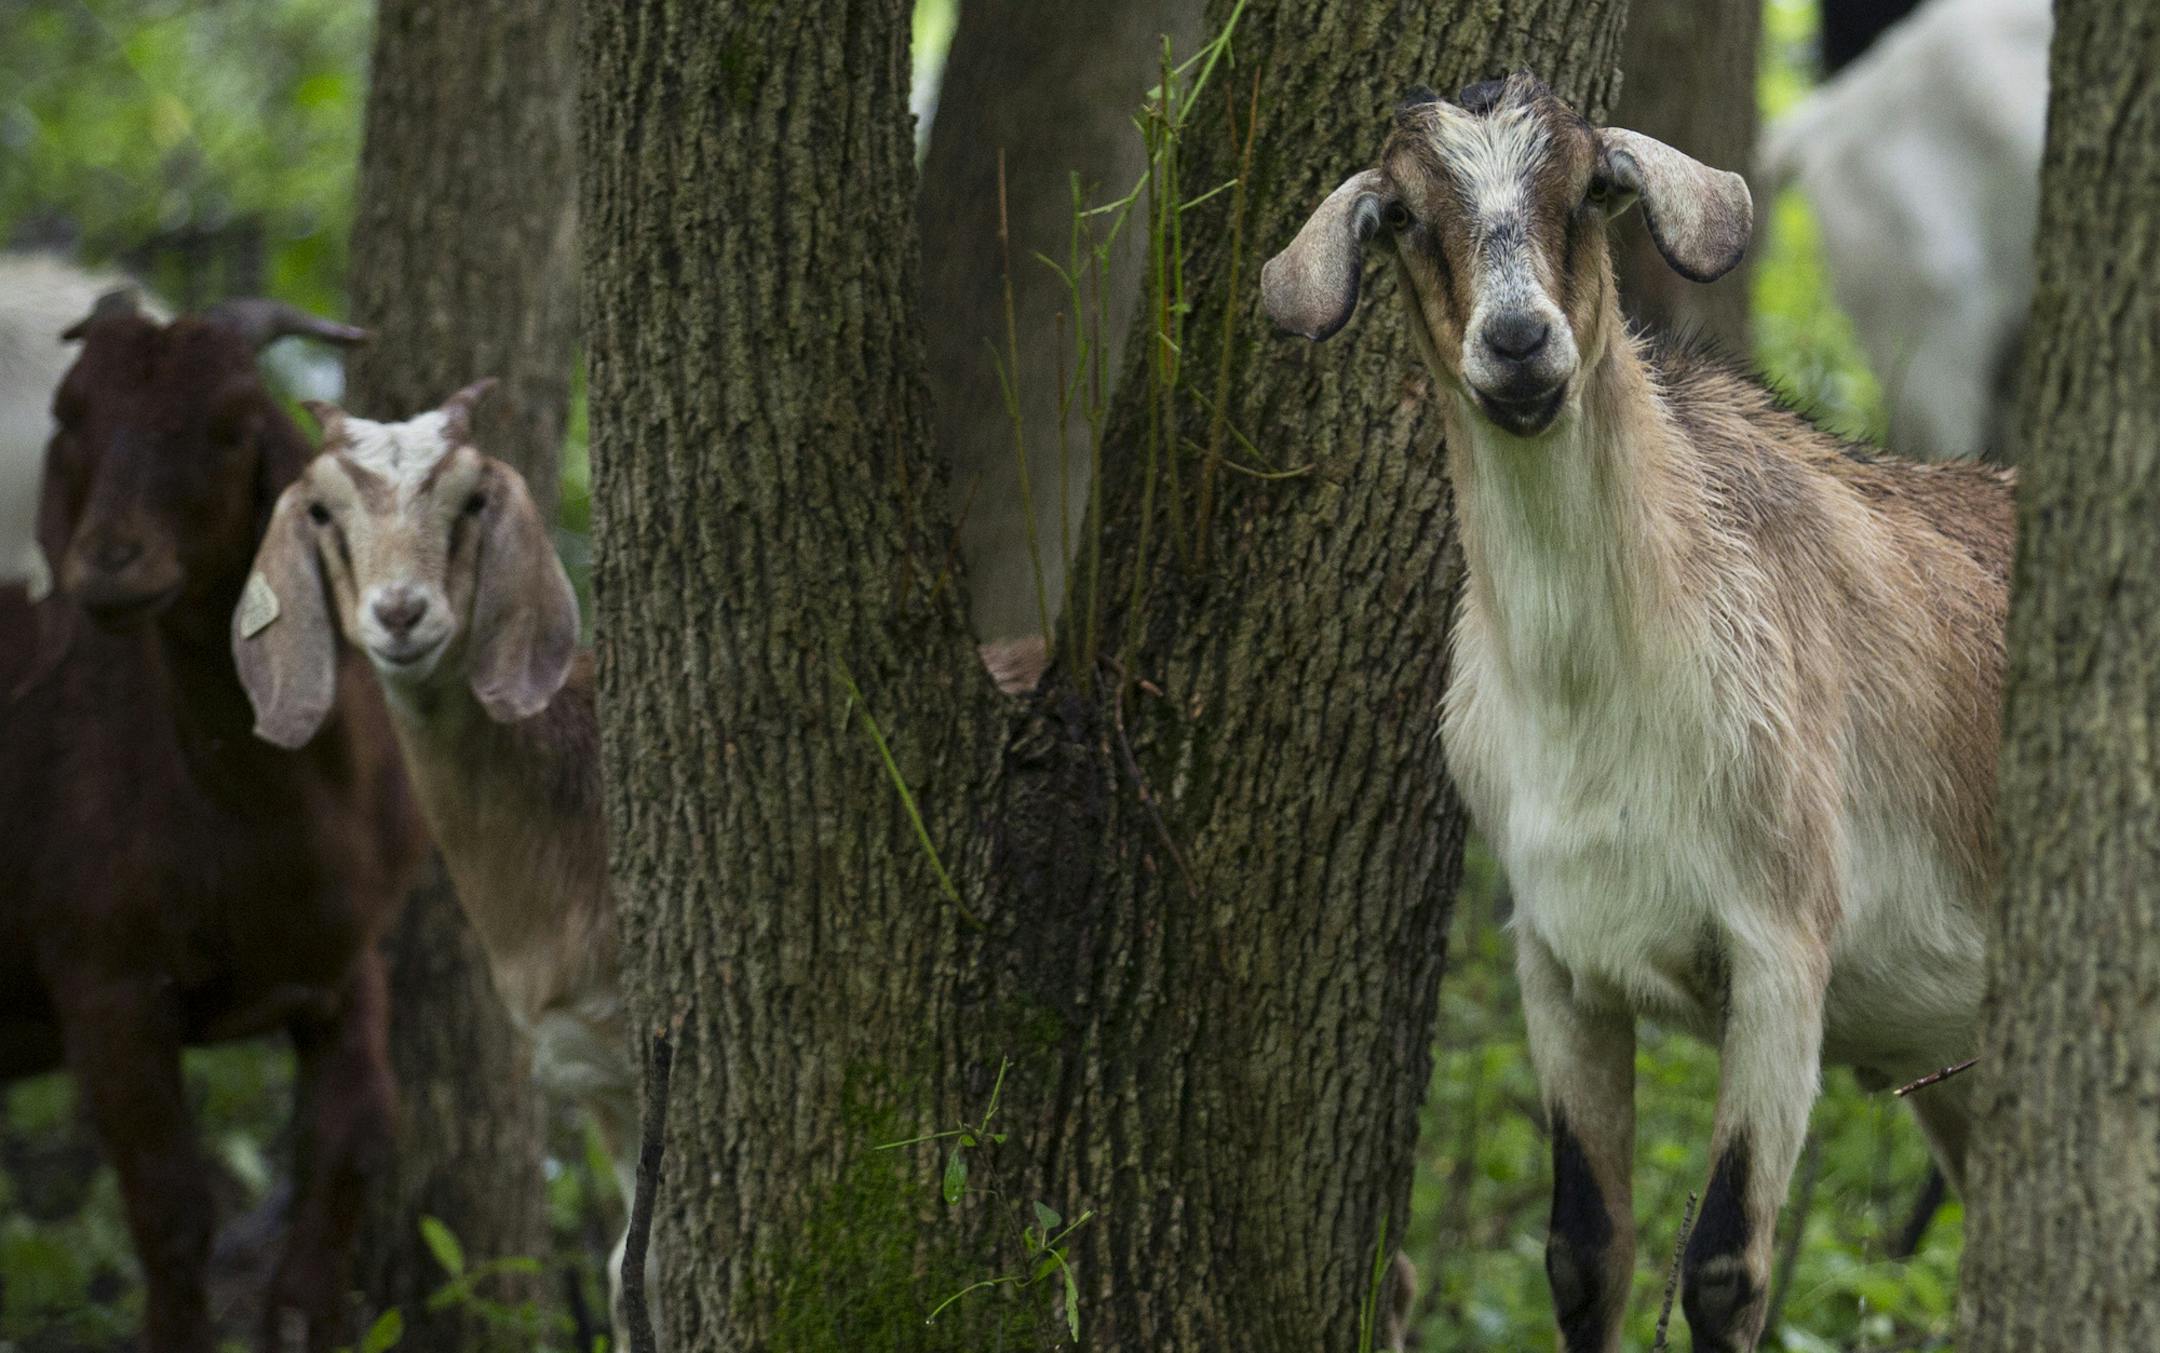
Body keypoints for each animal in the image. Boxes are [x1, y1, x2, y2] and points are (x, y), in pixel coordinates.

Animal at [0, 292, 425, 1353]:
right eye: (72, 415)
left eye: (231, 424)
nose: (110, 563)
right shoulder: (105, 982)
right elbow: (172, 1214)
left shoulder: (346, 962)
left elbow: (351, 1156)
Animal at [1263, 74, 2010, 1353]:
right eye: (1403, 216)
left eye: (1587, 190)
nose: (1518, 344)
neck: (1598, 689)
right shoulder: (1558, 962)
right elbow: (1582, 1251)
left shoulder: (1781, 951)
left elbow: (1721, 1267)